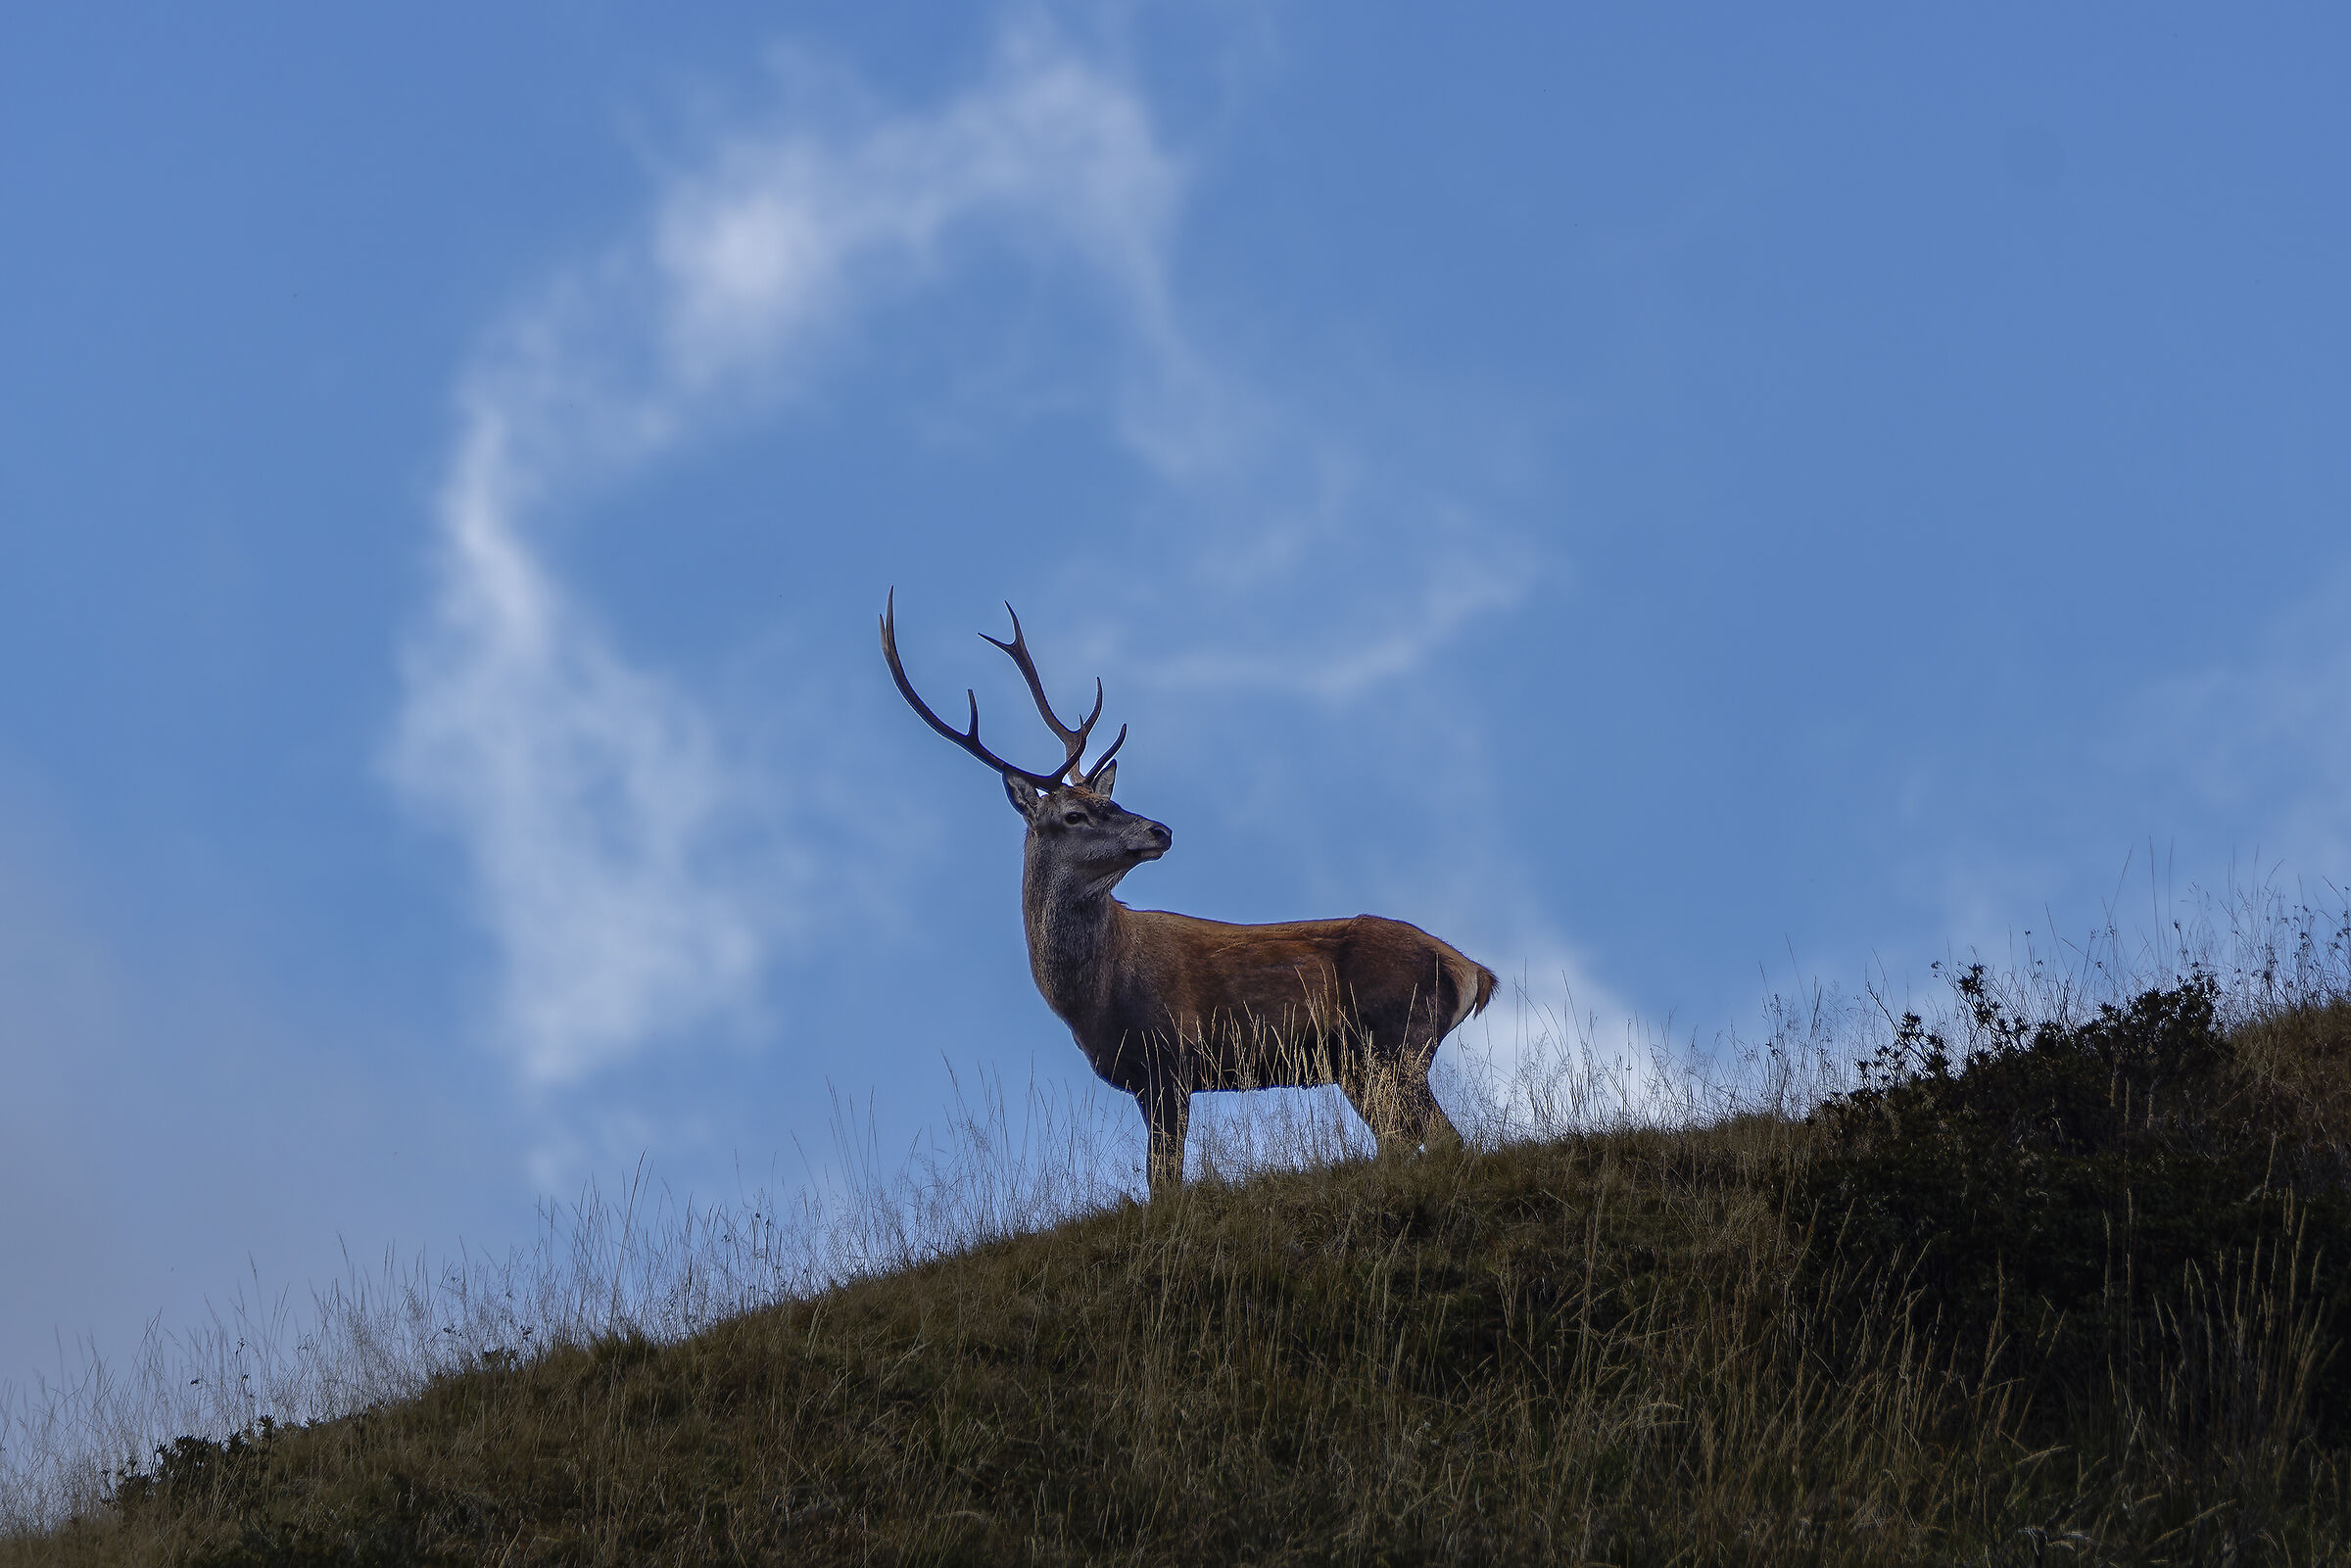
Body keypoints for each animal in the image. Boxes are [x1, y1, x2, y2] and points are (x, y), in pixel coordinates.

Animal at [882, 592, 1497, 1195]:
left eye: (1110, 800)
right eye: (1076, 813)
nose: (1161, 830)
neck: (1096, 988)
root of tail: (1471, 969)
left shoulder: (1170, 1060)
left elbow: (1165, 1185)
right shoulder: (1149, 1078)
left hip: (1396, 1040)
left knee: (1436, 1139)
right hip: (1360, 1064)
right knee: (1414, 1140)